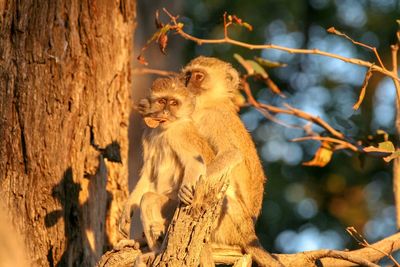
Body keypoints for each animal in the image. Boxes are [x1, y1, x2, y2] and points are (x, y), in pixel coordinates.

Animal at [180, 55, 282, 266]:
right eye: (187, 75)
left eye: (199, 76)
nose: (187, 84)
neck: (212, 104)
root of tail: (250, 236)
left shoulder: (214, 120)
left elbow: (232, 153)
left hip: (231, 225)